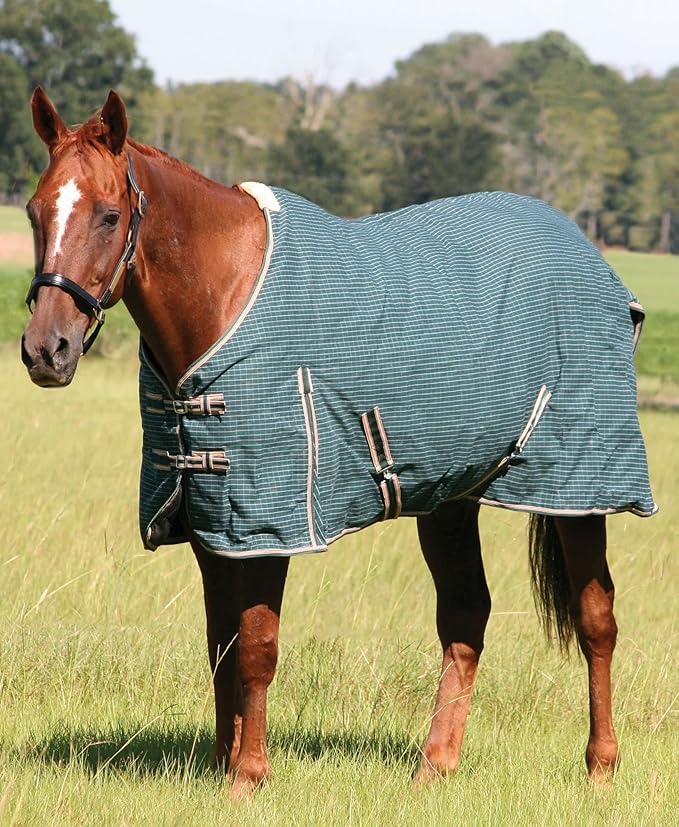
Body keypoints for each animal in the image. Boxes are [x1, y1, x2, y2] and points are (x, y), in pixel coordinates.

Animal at [21, 87, 656, 796]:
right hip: (449, 497)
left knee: (596, 618)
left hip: (581, 489)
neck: (226, 296)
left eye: (109, 216)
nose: (46, 350)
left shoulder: (268, 522)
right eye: (35, 210)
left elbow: (257, 646)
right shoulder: (212, 520)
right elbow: (221, 644)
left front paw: (248, 776)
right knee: (466, 615)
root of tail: (592, 259)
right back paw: (434, 766)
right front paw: (219, 766)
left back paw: (601, 765)